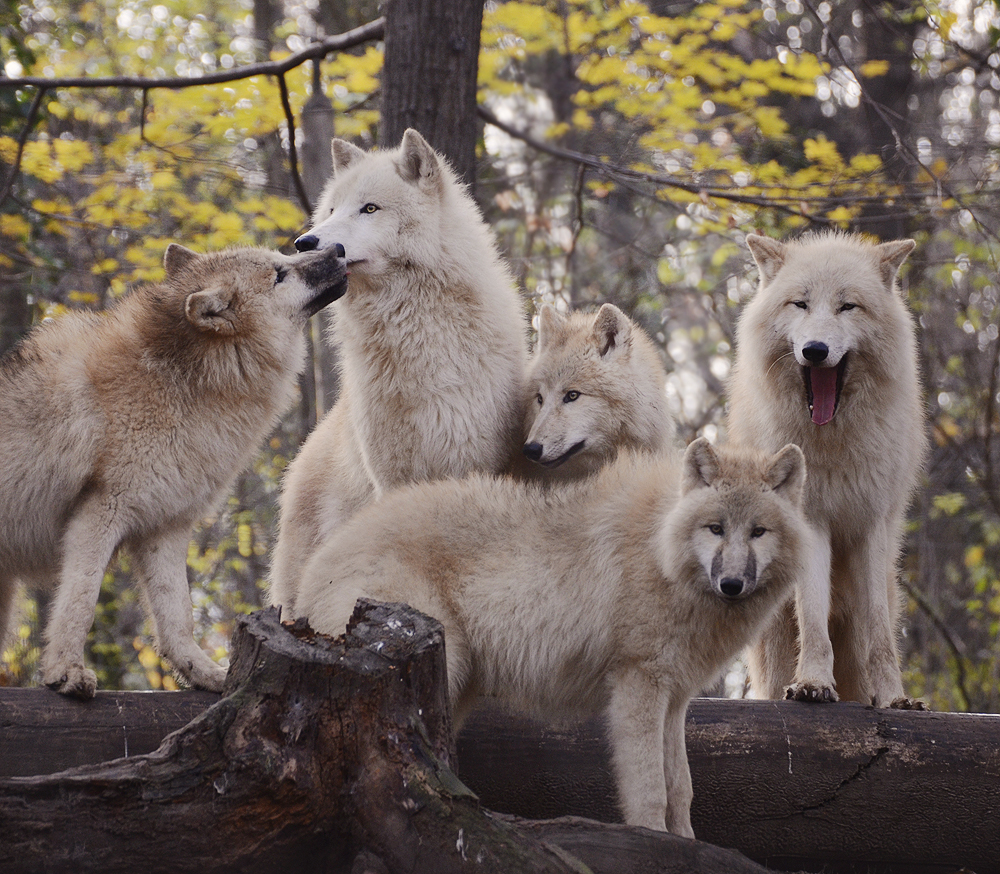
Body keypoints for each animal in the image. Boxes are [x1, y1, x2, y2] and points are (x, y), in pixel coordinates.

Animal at [0, 242, 348, 700]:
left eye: (284, 257)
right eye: (279, 275)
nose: (337, 248)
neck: (184, 385)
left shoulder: (164, 529)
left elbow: (178, 617)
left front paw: (208, 675)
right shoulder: (99, 514)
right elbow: (81, 600)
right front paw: (66, 672)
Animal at [292, 440, 808, 836]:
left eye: (758, 532)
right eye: (716, 529)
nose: (732, 585)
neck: (660, 550)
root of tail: (317, 566)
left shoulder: (675, 698)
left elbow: (681, 788)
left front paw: (687, 845)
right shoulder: (637, 686)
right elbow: (650, 790)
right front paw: (654, 842)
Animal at [728, 228, 928, 704]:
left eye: (847, 306)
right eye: (800, 304)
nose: (815, 350)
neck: (832, 444)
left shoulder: (872, 523)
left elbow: (879, 633)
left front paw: (894, 699)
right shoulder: (811, 520)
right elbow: (813, 617)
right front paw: (813, 683)